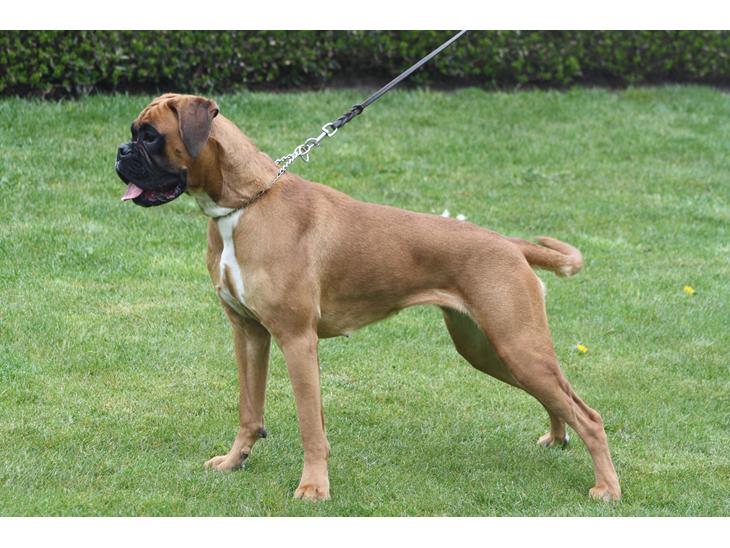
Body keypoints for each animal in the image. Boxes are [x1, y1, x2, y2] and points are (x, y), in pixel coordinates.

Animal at [115, 93, 621, 502]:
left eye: (151, 136)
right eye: (134, 134)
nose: (120, 152)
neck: (245, 204)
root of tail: (510, 244)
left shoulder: (297, 340)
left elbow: (309, 425)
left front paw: (314, 488)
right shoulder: (249, 333)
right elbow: (249, 409)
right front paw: (234, 461)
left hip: (516, 344)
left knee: (589, 415)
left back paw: (606, 487)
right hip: (490, 350)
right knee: (561, 398)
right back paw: (557, 438)